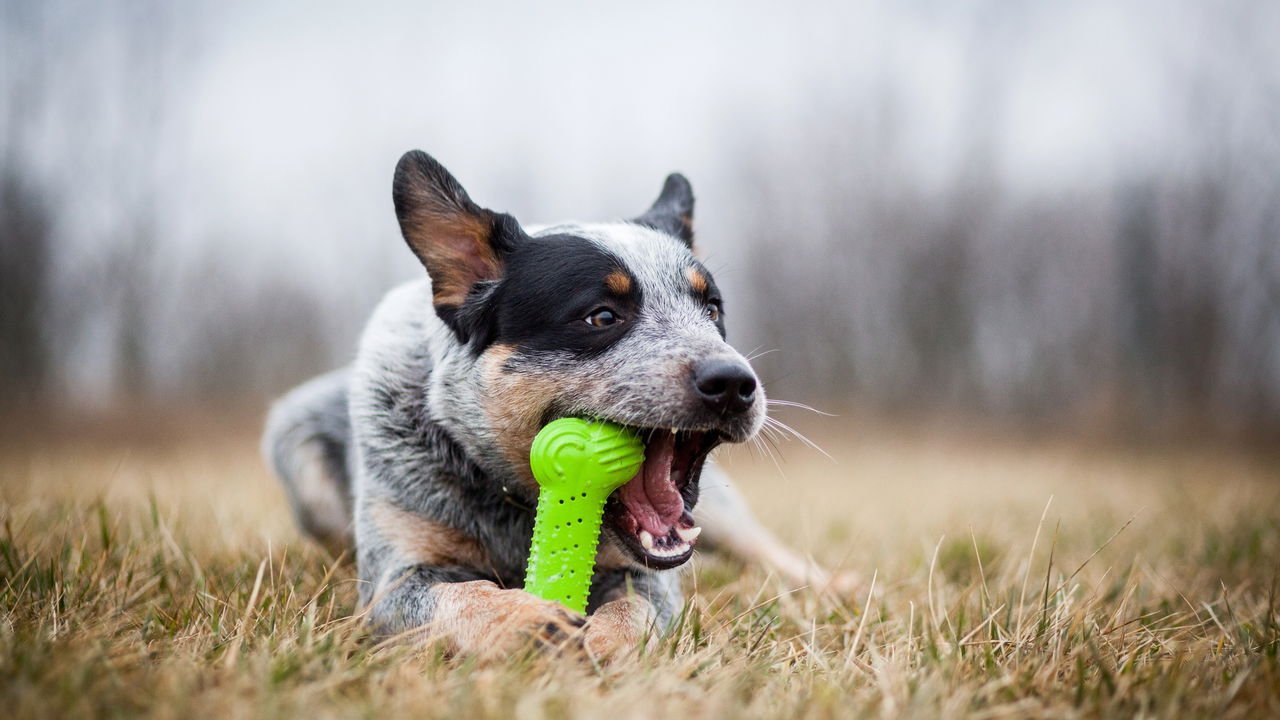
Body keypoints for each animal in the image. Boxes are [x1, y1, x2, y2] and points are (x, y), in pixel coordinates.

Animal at [263, 150, 850, 659]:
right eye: (602, 316)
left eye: (712, 309)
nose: (733, 382)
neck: (515, 502)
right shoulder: (394, 579)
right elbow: (458, 595)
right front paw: (524, 616)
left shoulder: (651, 579)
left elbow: (636, 607)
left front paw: (605, 640)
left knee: (768, 551)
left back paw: (832, 585)